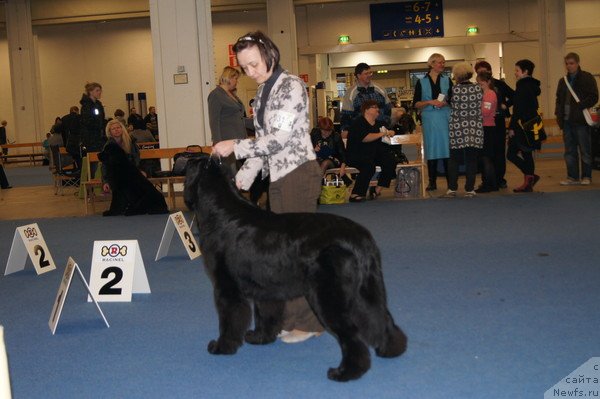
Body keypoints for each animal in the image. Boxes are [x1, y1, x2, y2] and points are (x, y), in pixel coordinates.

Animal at [183, 158, 408, 382]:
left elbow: (229, 320)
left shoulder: (226, 287)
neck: (220, 213)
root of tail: (361, 238)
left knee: (352, 334)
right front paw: (260, 337)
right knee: (380, 316)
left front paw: (222, 346)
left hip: (330, 297)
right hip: (367, 289)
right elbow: (265, 315)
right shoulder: (265, 288)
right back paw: (390, 349)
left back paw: (345, 372)